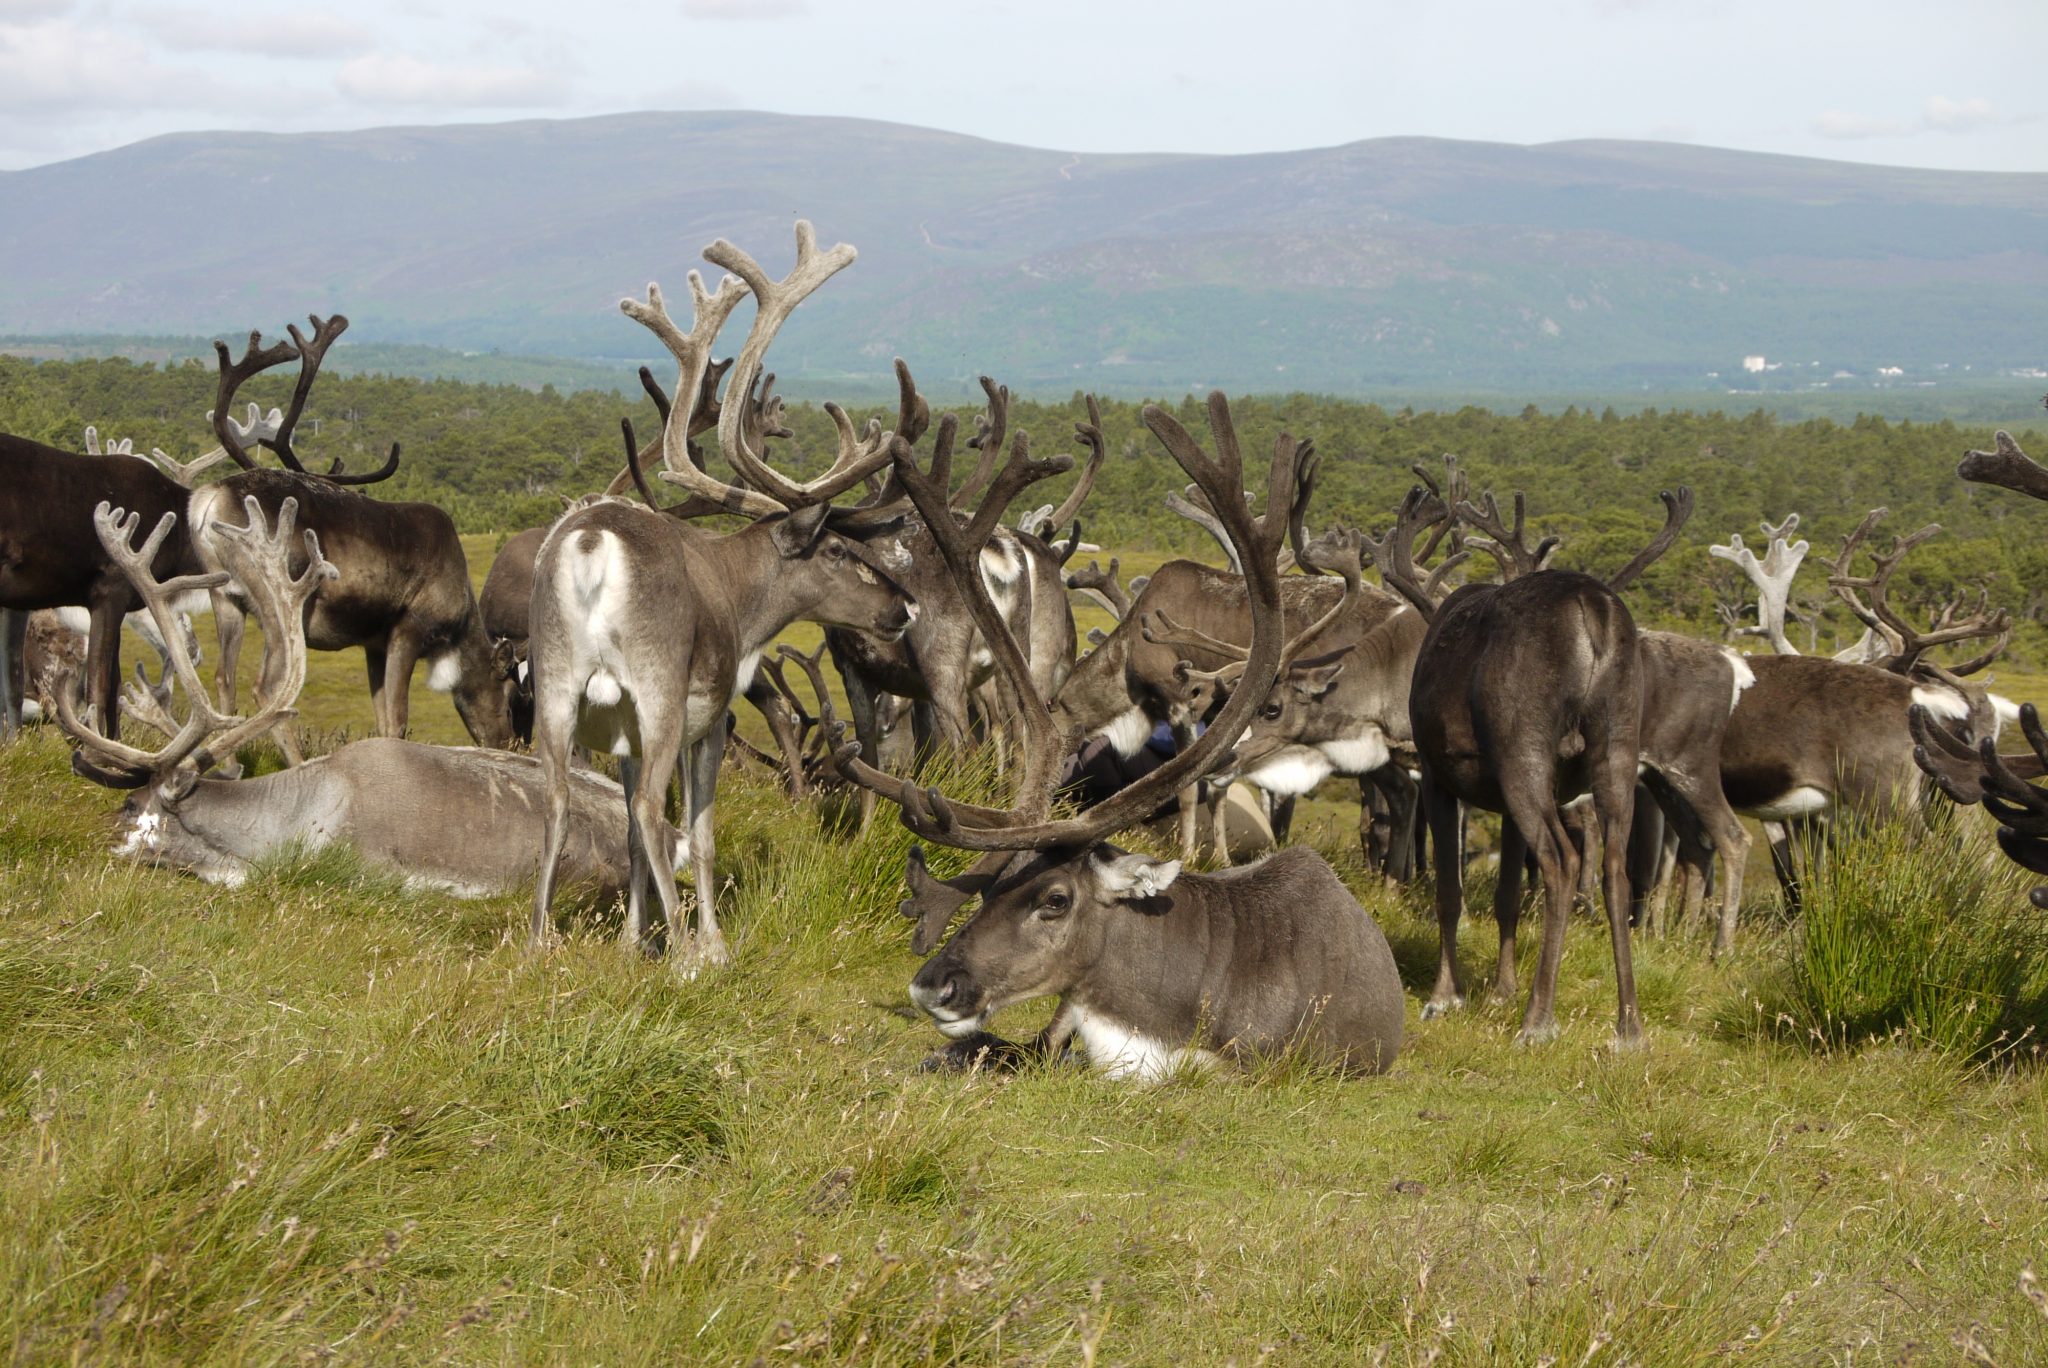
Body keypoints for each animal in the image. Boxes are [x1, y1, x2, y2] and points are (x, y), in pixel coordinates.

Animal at [194, 315, 516, 753]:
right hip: (279, 601)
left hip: (225, 596)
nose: (508, 742)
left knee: (223, 678)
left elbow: (381, 717)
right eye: (510, 692)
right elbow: (396, 720)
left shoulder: (373, 643)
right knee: (268, 688)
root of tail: (210, 499)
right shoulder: (408, 628)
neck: (460, 619)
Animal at [529, 222, 917, 973]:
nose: (902, 607)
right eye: (836, 551)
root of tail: (590, 543)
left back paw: (539, 941)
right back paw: (685, 955)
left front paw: (632, 942)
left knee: (559, 796)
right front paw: (707, 942)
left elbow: (627, 833)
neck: (744, 606)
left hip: (556, 680)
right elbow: (699, 833)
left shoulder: (620, 729)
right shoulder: (709, 714)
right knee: (654, 810)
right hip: (656, 680)